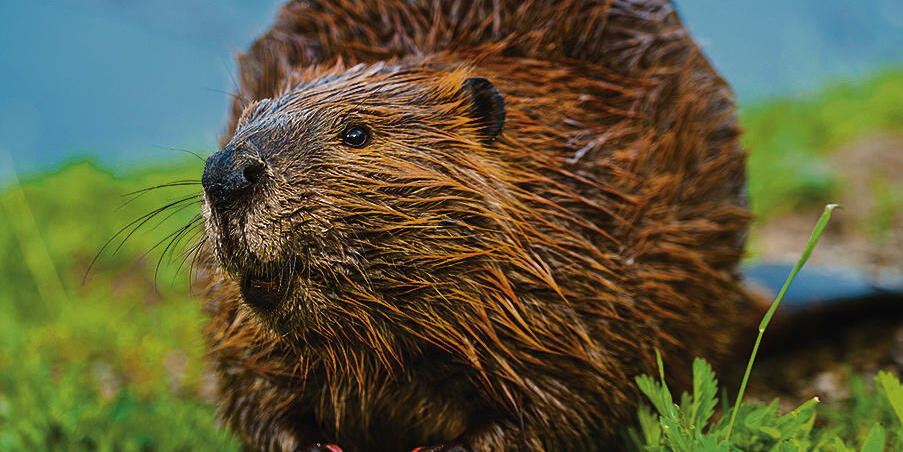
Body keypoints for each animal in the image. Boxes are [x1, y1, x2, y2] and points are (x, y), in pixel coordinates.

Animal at [201, 1, 752, 450]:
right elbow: (251, 392)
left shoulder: (594, 266)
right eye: (247, 117)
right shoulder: (237, 327)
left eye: (356, 133)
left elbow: (565, 400)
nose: (226, 174)